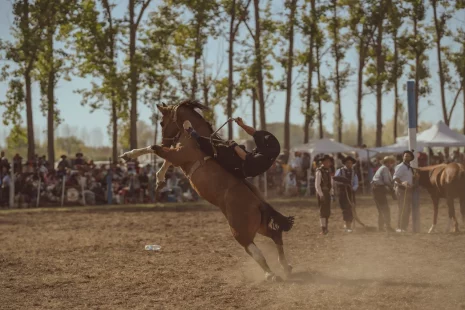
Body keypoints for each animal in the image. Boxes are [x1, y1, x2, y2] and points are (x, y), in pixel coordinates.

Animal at [120, 101, 294, 280]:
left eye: (161, 123)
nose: (165, 142)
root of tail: (259, 203)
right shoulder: (176, 155)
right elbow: (164, 157)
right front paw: (157, 177)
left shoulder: (178, 154)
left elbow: (154, 148)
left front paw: (130, 155)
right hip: (258, 226)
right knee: (276, 235)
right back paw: (285, 267)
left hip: (240, 231)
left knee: (256, 251)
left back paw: (270, 274)